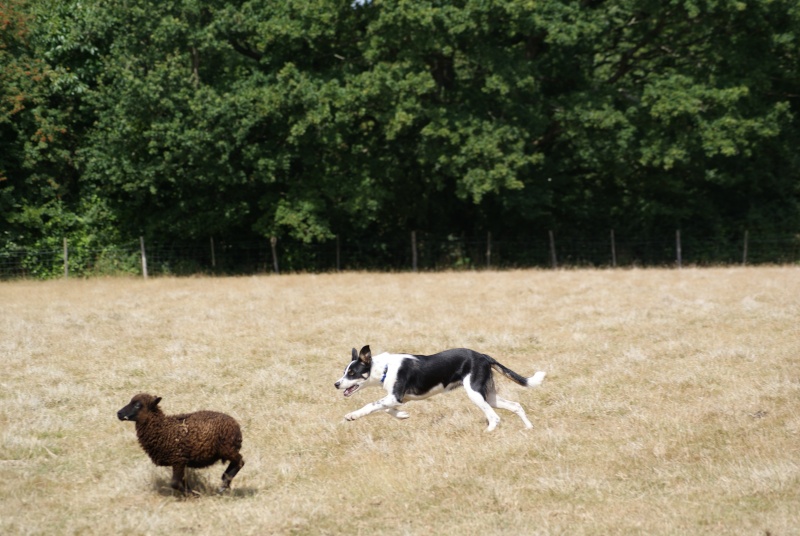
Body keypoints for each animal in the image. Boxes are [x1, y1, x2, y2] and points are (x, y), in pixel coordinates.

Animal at [334, 348, 548, 432]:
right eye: (344, 371)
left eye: (352, 373)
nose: (336, 384)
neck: (384, 368)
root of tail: (483, 356)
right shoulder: (400, 398)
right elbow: (387, 409)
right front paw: (402, 415)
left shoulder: (395, 396)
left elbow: (371, 405)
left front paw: (352, 416)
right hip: (489, 395)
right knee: (516, 405)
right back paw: (529, 427)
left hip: (475, 393)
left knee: (494, 417)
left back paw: (487, 433)